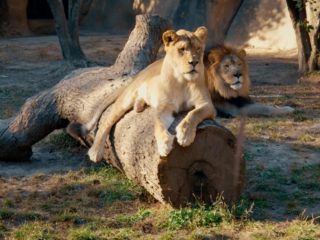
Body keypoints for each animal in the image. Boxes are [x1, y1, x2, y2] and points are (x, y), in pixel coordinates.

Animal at [86, 26, 215, 163]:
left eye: (198, 48)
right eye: (182, 49)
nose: (194, 62)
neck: (182, 81)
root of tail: (140, 73)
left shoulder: (207, 104)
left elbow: (194, 114)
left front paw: (185, 134)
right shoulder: (165, 108)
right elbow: (158, 123)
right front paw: (164, 144)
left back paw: (139, 106)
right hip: (125, 100)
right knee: (106, 122)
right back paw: (95, 151)